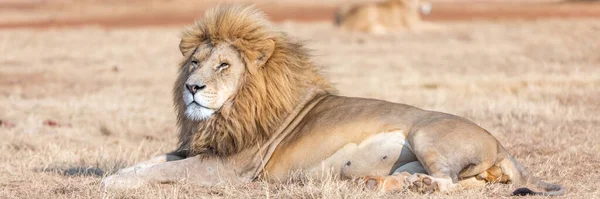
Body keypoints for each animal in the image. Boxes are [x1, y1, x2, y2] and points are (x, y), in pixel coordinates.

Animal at [101, 4, 564, 196]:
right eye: (195, 62)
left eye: (224, 66)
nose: (192, 87)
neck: (229, 112)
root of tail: (501, 144)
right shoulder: (201, 150)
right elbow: (151, 161)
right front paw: (113, 174)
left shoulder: (230, 169)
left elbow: (159, 171)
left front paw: (113, 183)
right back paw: (383, 183)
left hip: (428, 134)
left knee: (452, 183)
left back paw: (420, 186)